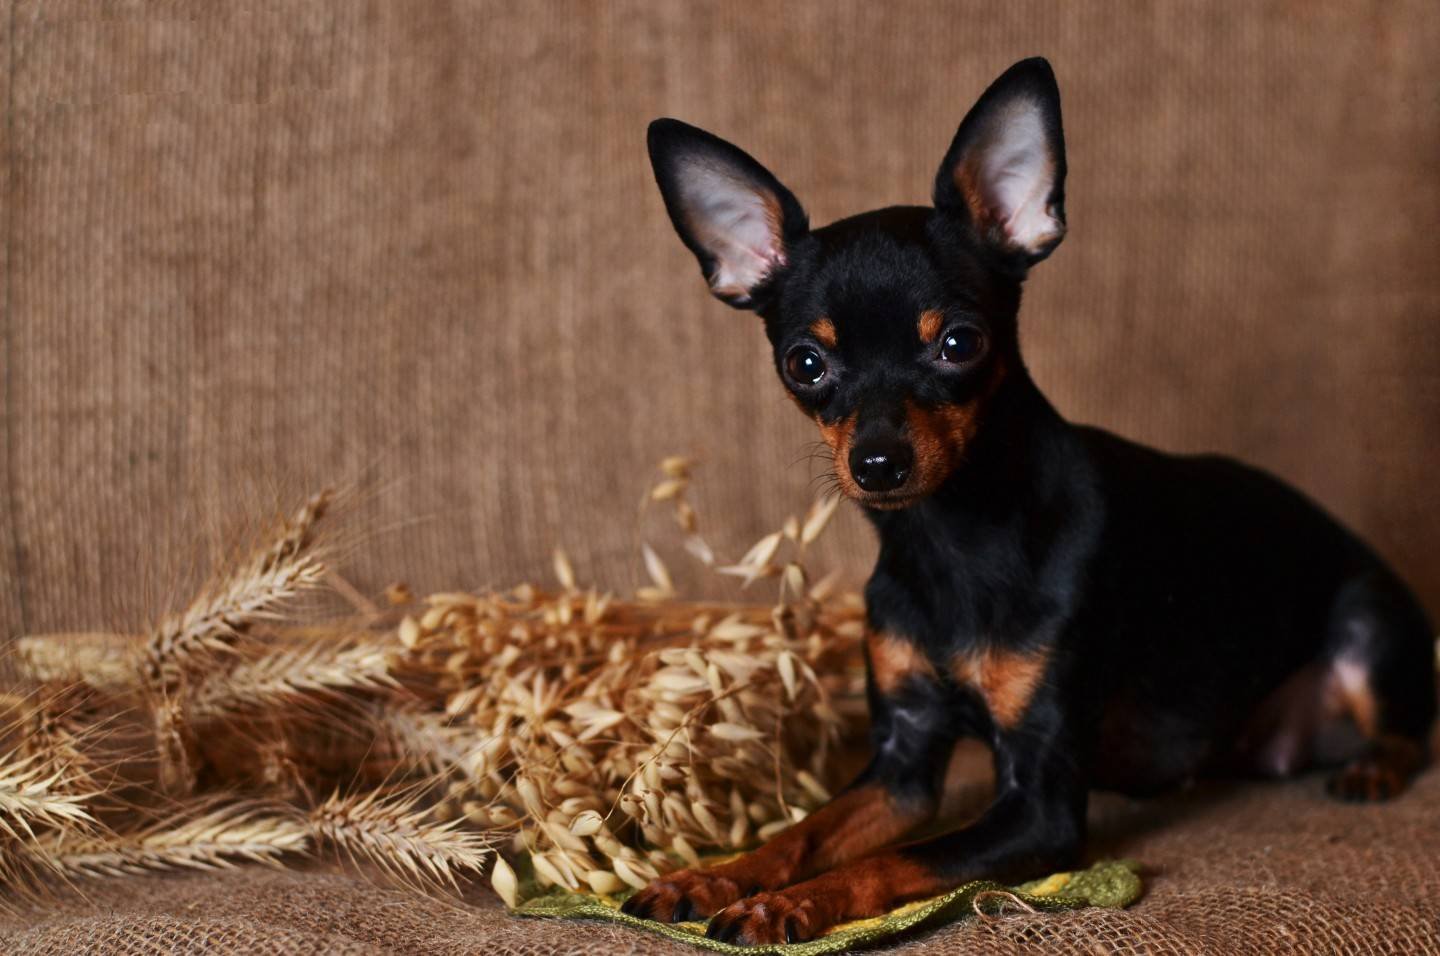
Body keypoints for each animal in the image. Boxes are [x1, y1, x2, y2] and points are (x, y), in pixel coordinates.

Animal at [624, 59, 1434, 950]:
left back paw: (1375, 765)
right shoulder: (903, 768)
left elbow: (892, 862)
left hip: (1368, 627)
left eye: (960, 344)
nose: (877, 462)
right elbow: (803, 832)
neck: (951, 539)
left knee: (1407, 724)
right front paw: (713, 876)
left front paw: (787, 904)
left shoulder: (1040, 809)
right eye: (805, 363)